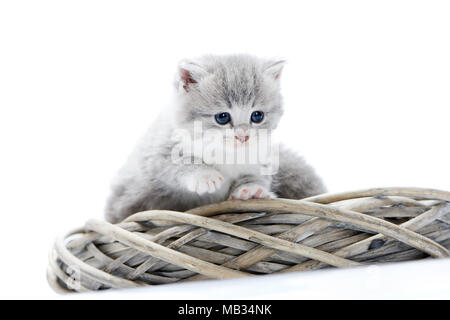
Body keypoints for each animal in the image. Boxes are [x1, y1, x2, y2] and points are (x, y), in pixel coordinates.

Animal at [104, 53, 326, 222]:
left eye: (257, 116)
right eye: (222, 117)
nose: (243, 136)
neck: (223, 152)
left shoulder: (265, 155)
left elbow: (259, 175)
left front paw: (251, 188)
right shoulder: (157, 154)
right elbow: (177, 164)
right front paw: (205, 175)